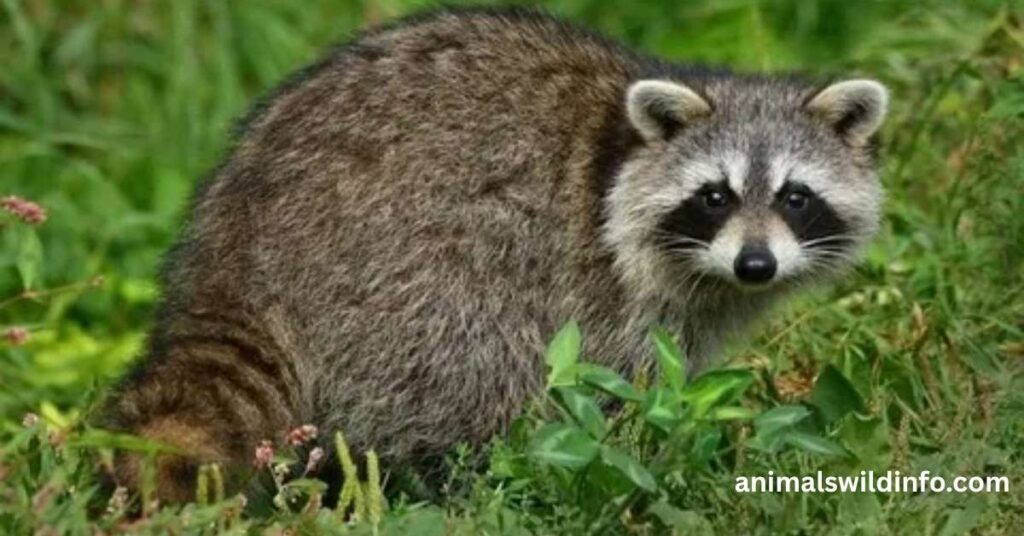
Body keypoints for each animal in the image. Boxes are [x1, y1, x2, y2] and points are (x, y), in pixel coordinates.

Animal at [102, 8, 888, 501]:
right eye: (715, 197)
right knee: (479, 370)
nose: (756, 265)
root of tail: (238, 254)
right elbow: (623, 388)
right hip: (416, 275)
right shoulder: (608, 285)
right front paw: (644, 457)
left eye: (794, 197)